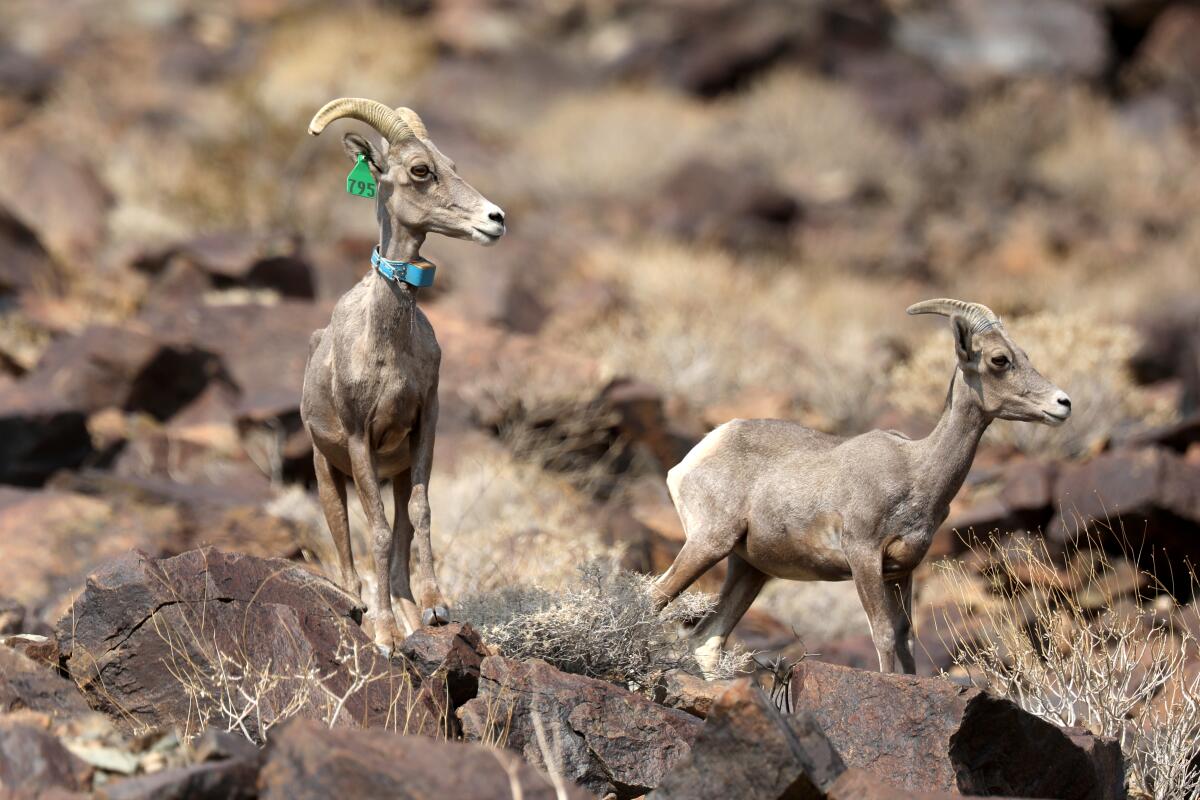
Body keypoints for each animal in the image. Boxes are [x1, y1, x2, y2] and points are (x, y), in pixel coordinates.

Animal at [302, 97, 508, 652]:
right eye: (420, 171)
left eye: (452, 165)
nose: (495, 219)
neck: (389, 350)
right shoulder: (358, 440)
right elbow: (372, 530)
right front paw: (385, 635)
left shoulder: (424, 426)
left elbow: (418, 515)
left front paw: (435, 609)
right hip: (327, 471)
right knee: (345, 544)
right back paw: (366, 611)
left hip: (392, 471)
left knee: (399, 540)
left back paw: (411, 615)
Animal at [652, 299, 1075, 676]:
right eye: (999, 360)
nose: (1063, 403)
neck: (915, 470)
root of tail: (701, 451)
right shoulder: (864, 557)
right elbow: (884, 635)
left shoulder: (901, 572)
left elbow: (905, 639)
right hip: (709, 544)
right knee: (654, 598)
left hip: (748, 569)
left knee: (707, 641)